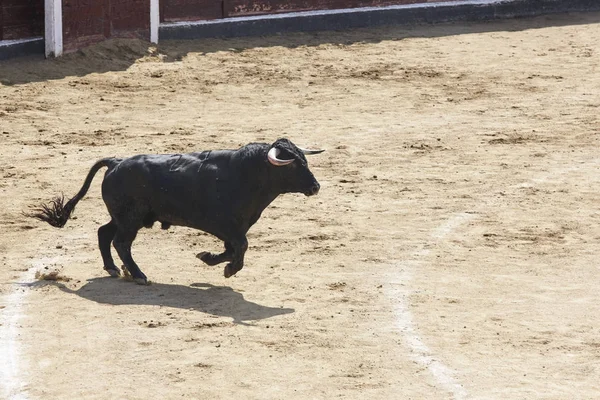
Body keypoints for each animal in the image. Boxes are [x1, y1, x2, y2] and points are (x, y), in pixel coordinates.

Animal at [29, 139, 324, 282]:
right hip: (131, 219)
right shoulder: (228, 226)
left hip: (127, 217)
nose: (315, 186)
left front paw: (207, 258)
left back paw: (113, 269)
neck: (247, 175)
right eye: (292, 165)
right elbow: (241, 248)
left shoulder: (234, 229)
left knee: (104, 233)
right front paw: (229, 270)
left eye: (305, 160)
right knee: (121, 242)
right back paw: (138, 275)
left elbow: (232, 249)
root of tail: (115, 162)